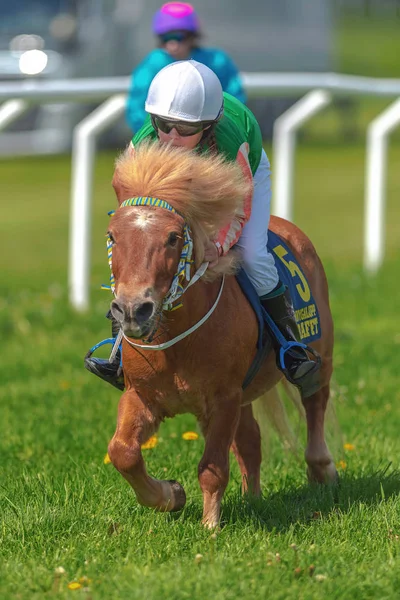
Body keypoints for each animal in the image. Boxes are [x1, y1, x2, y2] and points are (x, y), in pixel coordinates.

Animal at [106, 141, 338, 524]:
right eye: (112, 235)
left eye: (173, 238)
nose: (133, 310)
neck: (177, 342)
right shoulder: (140, 394)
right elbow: (123, 452)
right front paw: (170, 495)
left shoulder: (224, 398)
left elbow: (212, 467)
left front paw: (210, 525)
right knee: (251, 439)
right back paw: (253, 498)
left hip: (320, 348)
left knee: (315, 399)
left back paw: (322, 469)